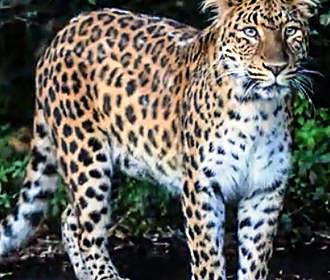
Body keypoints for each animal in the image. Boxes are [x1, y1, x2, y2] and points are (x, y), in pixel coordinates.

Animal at [0, 0, 318, 278]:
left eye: (291, 30)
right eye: (250, 32)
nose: (276, 67)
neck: (258, 112)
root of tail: (62, 33)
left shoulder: (265, 189)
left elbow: (255, 259)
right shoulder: (202, 186)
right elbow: (208, 257)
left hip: (116, 164)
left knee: (70, 219)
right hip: (86, 157)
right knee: (88, 231)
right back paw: (107, 276)